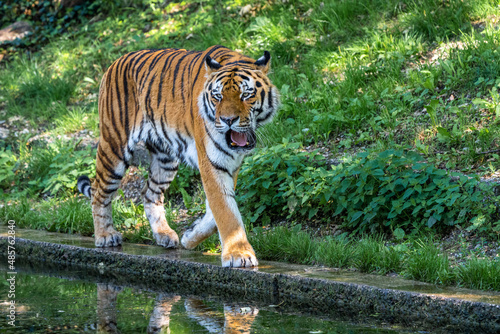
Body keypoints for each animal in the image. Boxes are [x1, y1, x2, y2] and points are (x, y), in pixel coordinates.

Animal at [78, 45, 282, 268]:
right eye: (217, 96)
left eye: (246, 95)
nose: (228, 120)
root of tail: (115, 62)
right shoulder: (212, 163)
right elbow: (226, 212)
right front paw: (239, 254)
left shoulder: (230, 165)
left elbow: (217, 210)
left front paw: (190, 237)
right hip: (114, 146)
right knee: (98, 191)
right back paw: (105, 235)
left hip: (165, 160)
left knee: (150, 194)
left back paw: (164, 235)